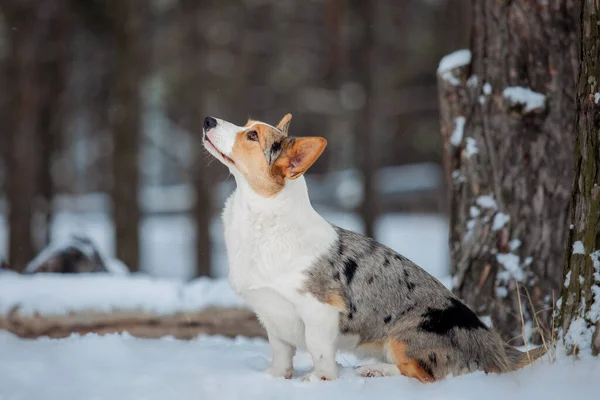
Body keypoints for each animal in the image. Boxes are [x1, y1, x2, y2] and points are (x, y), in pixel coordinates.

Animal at [203, 114, 548, 382]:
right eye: (248, 124)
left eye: (252, 135)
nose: (207, 120)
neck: (264, 218)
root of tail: (496, 348)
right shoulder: (273, 315)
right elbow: (281, 352)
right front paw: (274, 378)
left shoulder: (319, 310)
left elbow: (319, 351)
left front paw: (316, 381)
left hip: (403, 338)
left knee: (425, 375)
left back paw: (376, 371)